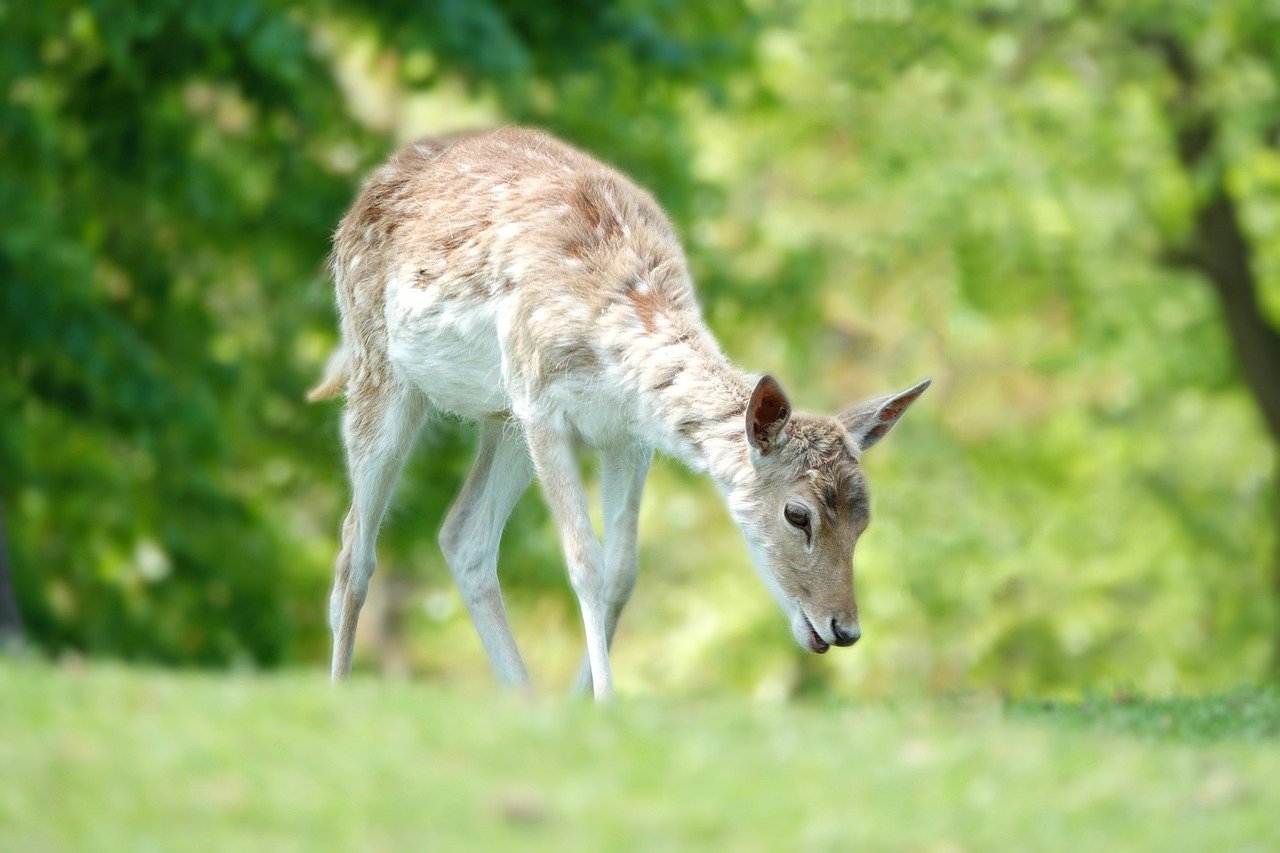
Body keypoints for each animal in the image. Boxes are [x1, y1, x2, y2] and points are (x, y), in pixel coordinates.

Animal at [309, 127, 930, 700]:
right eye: (797, 514)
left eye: (865, 519)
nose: (844, 629)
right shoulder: (542, 404)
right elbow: (585, 560)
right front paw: (605, 697)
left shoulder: (629, 437)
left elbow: (623, 572)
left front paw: (590, 706)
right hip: (380, 361)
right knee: (353, 546)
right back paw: (339, 690)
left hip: (501, 415)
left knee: (462, 537)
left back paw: (525, 700)